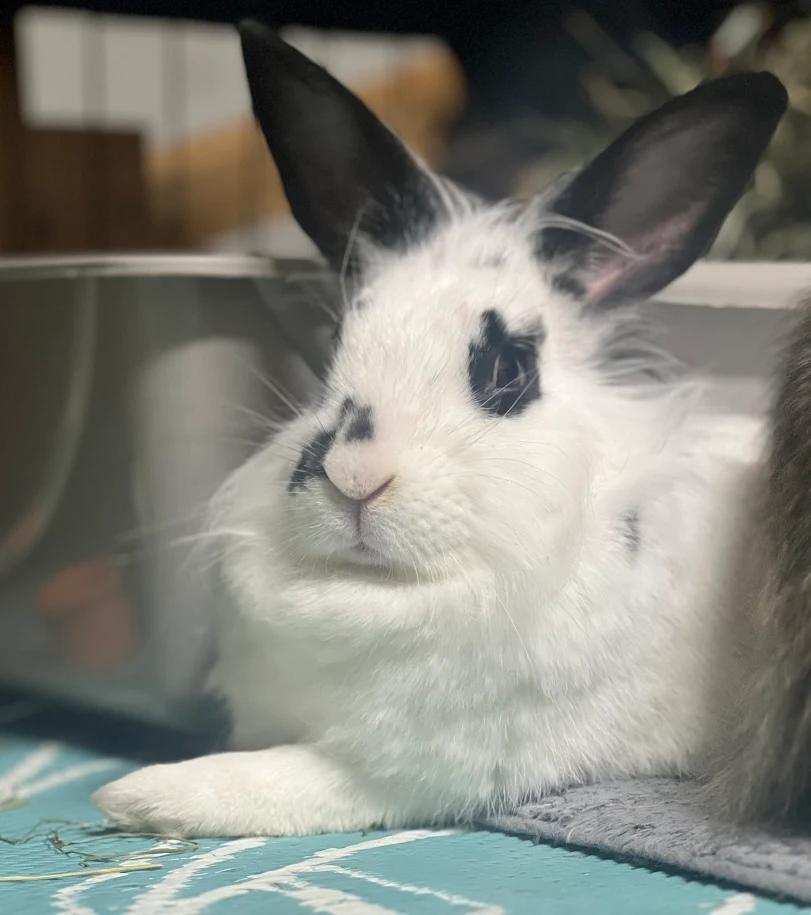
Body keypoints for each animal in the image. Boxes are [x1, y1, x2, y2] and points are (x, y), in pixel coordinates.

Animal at [94, 21, 792, 837]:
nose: (356, 478)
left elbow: (271, 781)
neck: (376, 594)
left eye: (508, 370)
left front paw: (136, 795)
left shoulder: (404, 775)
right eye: (334, 343)